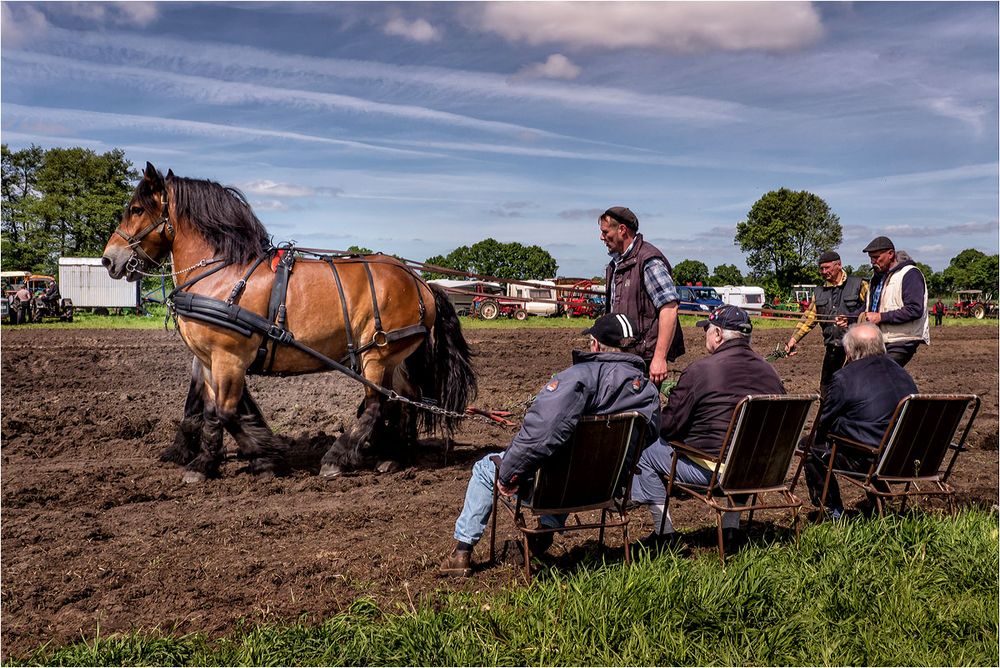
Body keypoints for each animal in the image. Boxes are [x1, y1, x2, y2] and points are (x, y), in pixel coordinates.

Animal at [101, 164, 476, 482]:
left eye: (136, 209)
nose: (108, 260)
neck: (222, 273)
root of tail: (420, 282)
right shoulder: (208, 359)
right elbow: (208, 409)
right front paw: (206, 461)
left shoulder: (229, 358)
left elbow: (226, 412)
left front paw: (264, 457)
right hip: (393, 357)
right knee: (402, 399)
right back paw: (394, 457)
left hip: (377, 354)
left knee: (376, 404)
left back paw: (337, 459)